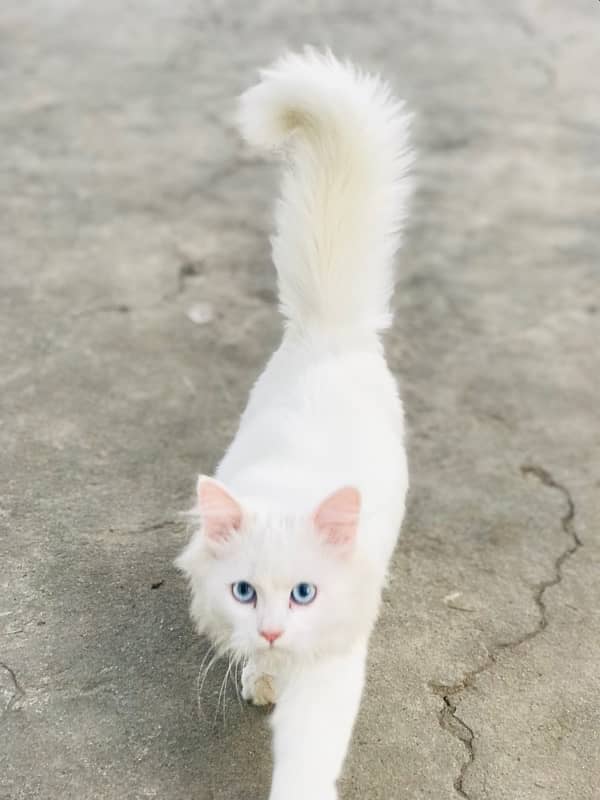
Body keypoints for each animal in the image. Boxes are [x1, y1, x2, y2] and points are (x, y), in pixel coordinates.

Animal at [176, 48, 414, 800]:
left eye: (305, 593)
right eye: (244, 592)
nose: (277, 631)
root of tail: (328, 335)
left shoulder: (332, 662)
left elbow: (308, 754)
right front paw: (260, 673)